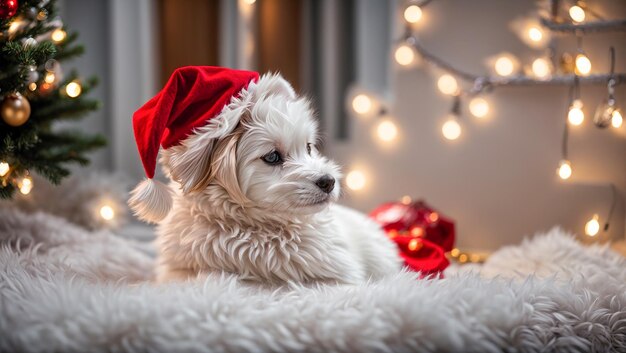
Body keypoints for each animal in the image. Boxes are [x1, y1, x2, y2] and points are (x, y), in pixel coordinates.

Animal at [132, 71, 400, 284]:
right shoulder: (179, 270)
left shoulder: (339, 274)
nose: (329, 181)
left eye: (309, 147)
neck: (259, 228)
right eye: (272, 157)